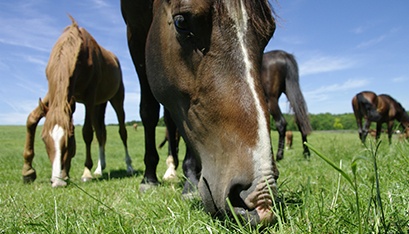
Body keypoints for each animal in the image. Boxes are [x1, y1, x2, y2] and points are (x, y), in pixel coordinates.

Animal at [21, 16, 133, 186]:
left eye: (70, 138)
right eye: (44, 139)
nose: (58, 181)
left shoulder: (89, 97)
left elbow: (87, 132)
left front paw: (86, 172)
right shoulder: (53, 95)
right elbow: (32, 119)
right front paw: (28, 171)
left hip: (116, 99)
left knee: (122, 131)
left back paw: (128, 166)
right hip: (98, 105)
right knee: (101, 133)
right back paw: (100, 168)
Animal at [120, 0, 278, 225]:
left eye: (269, 33)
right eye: (181, 22)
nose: (259, 197)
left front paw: (190, 183)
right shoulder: (135, 35)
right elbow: (149, 111)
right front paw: (149, 179)